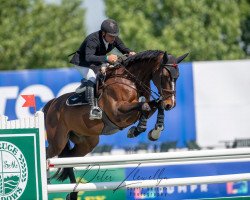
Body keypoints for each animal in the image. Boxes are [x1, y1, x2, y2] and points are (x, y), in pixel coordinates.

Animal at [43, 49, 188, 198]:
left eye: (177, 77)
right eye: (164, 76)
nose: (171, 104)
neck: (130, 81)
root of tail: (52, 104)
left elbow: (154, 105)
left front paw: (154, 132)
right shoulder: (117, 112)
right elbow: (145, 106)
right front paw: (137, 129)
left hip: (86, 142)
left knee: (68, 159)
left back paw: (73, 193)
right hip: (58, 141)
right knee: (48, 154)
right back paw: (47, 182)